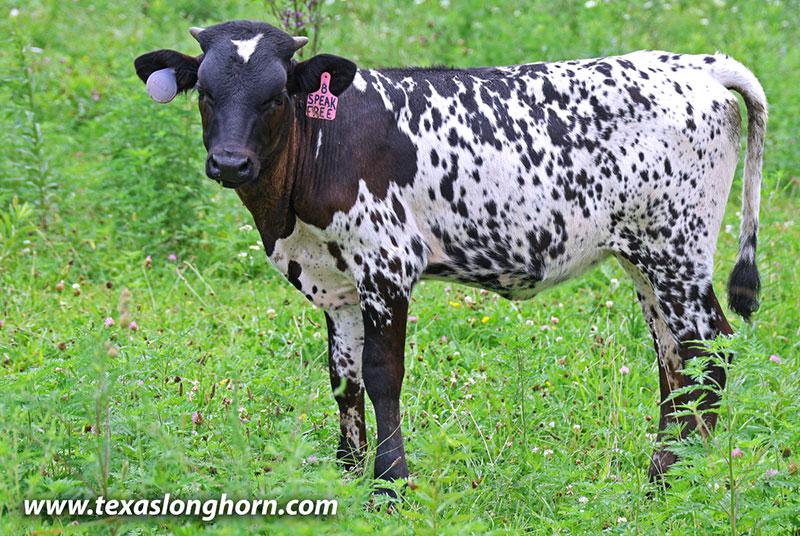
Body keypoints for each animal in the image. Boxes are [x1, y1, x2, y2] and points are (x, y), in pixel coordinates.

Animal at [134, 20, 767, 495]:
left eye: (274, 97)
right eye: (206, 94)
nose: (230, 163)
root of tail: (697, 64)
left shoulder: (387, 266)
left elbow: (382, 377)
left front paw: (389, 486)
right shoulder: (335, 285)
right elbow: (343, 380)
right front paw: (345, 476)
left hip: (676, 251)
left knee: (708, 350)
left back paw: (679, 484)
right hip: (644, 260)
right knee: (674, 362)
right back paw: (662, 479)